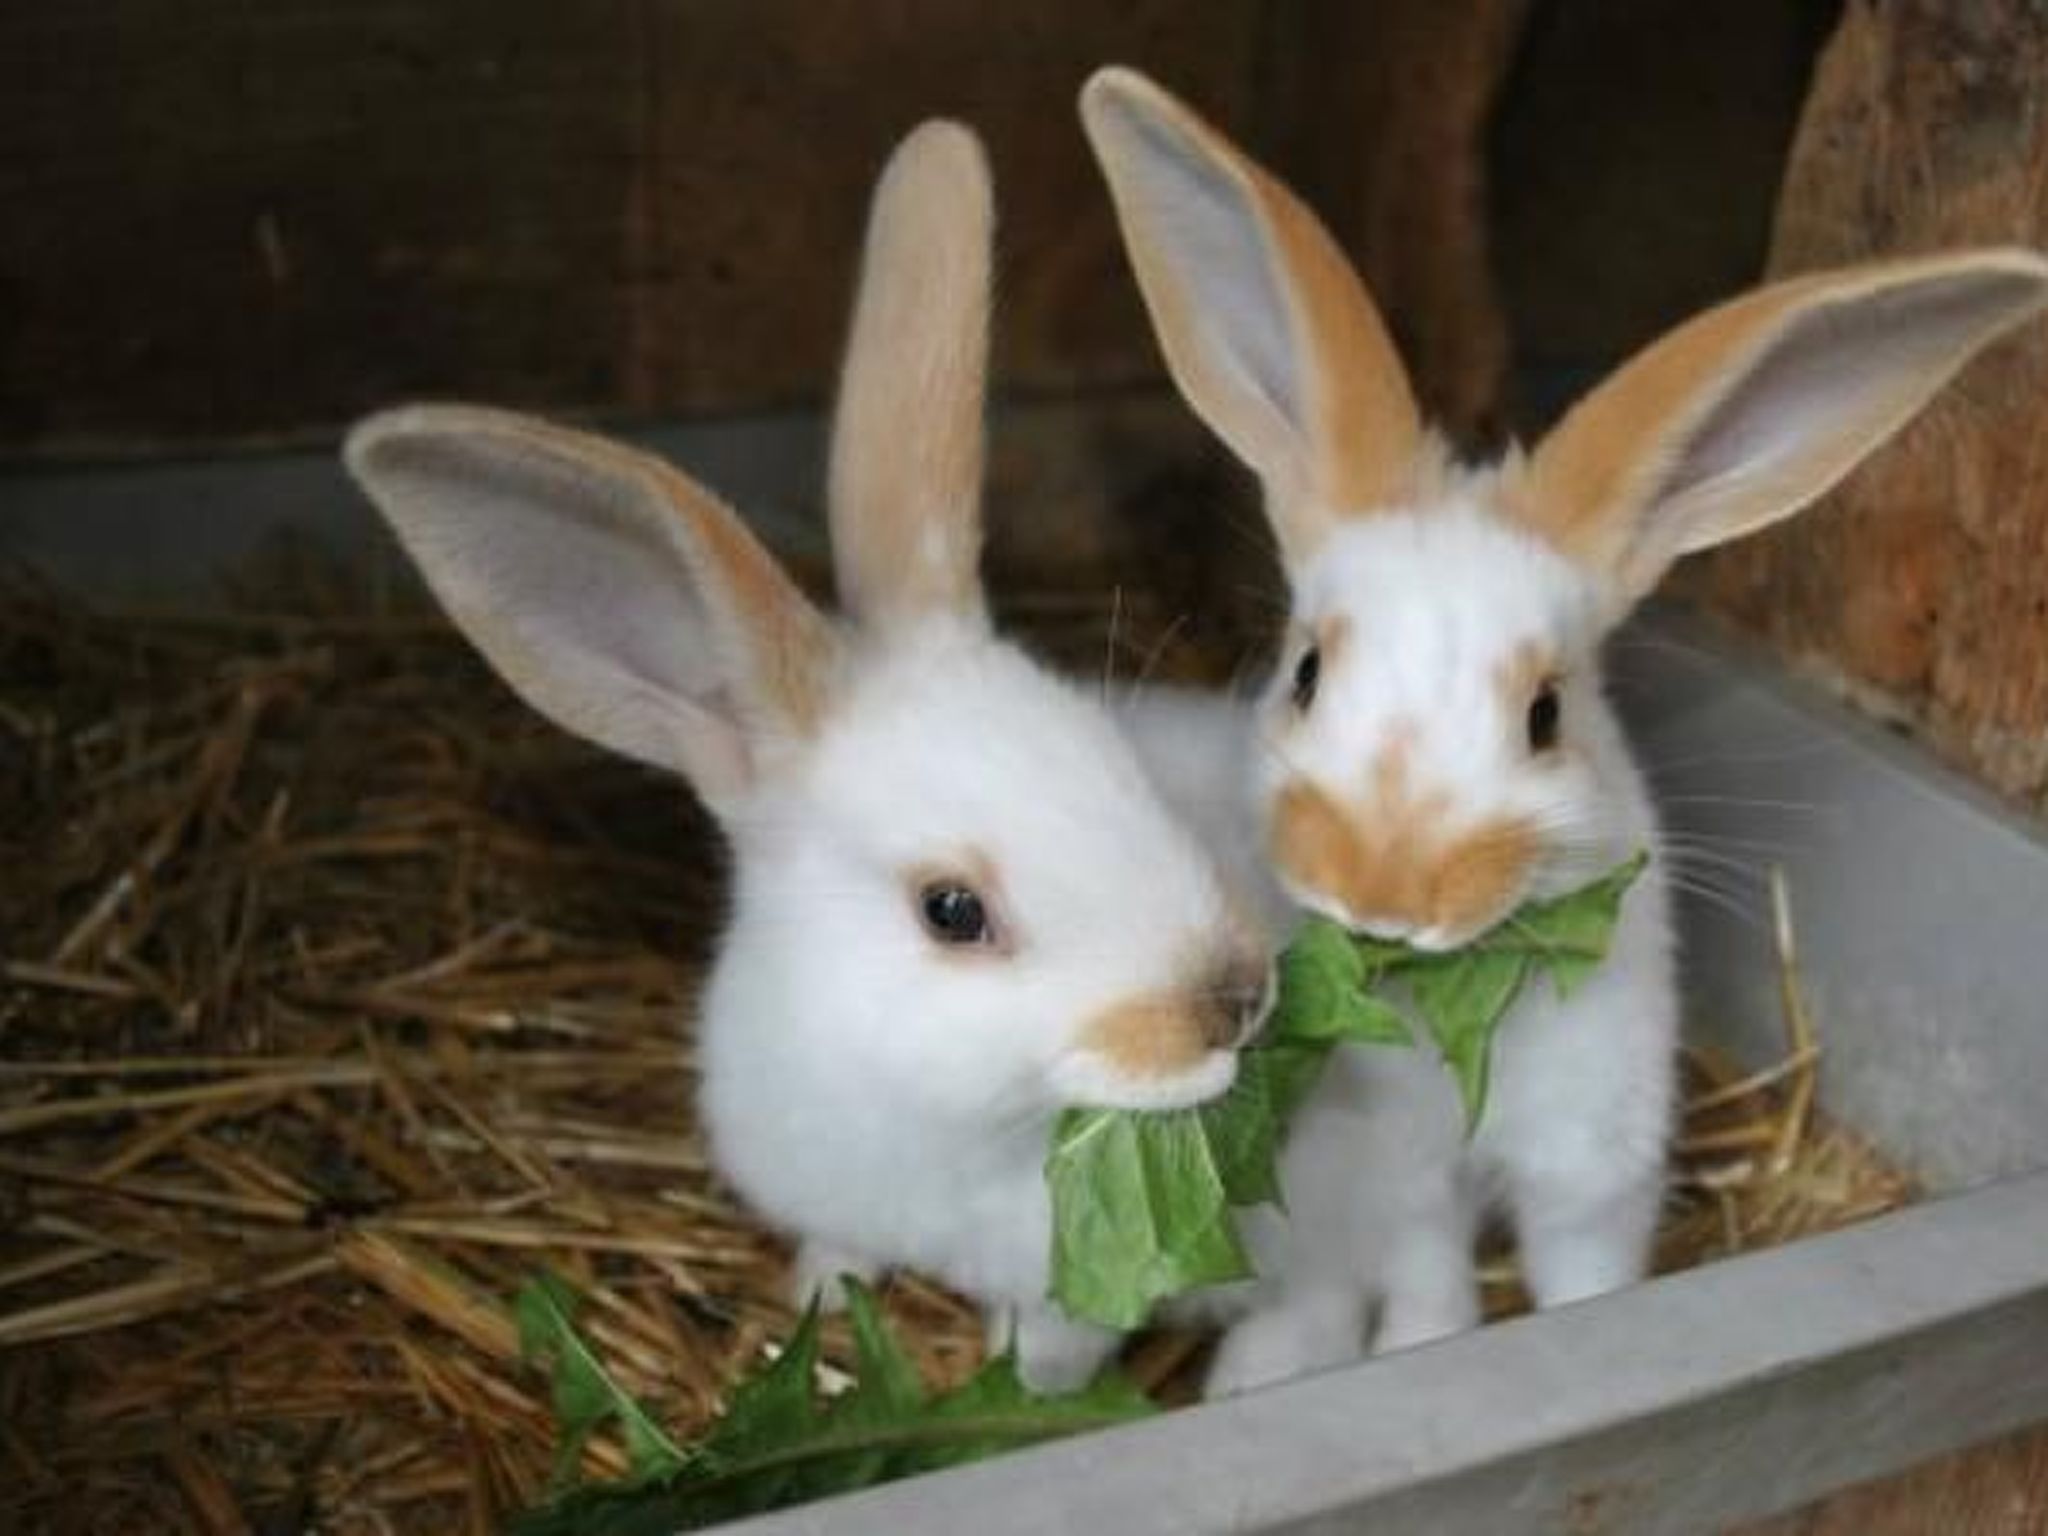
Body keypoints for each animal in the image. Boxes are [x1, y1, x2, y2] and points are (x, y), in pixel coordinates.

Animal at [342, 120, 1323, 1394]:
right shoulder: (821, 1200)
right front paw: (818, 1324)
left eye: (1120, 764)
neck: (929, 1114)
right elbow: (835, 1260)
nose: (1232, 1003)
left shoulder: (1060, 1303)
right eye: (951, 911)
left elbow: (1039, 1359)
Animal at [1082, 65, 2048, 1354]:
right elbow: (1430, 1276)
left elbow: (1583, 1275)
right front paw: (1422, 1350)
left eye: (1545, 715)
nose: (1381, 895)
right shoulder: (1403, 1176)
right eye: (1304, 674)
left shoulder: (1594, 1164)